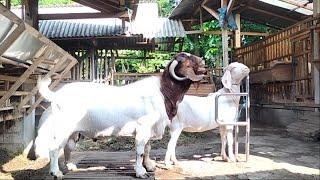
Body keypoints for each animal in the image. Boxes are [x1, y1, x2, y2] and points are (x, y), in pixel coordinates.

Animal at [35, 52, 205, 179]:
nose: (203, 61)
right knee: (54, 148)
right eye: (187, 61)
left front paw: (149, 166)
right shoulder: (143, 129)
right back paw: (56, 172)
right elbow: (140, 150)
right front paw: (141, 172)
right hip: (63, 128)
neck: (163, 92)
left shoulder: (150, 129)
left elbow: (148, 148)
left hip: (73, 132)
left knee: (67, 147)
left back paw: (70, 166)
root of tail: (56, 95)